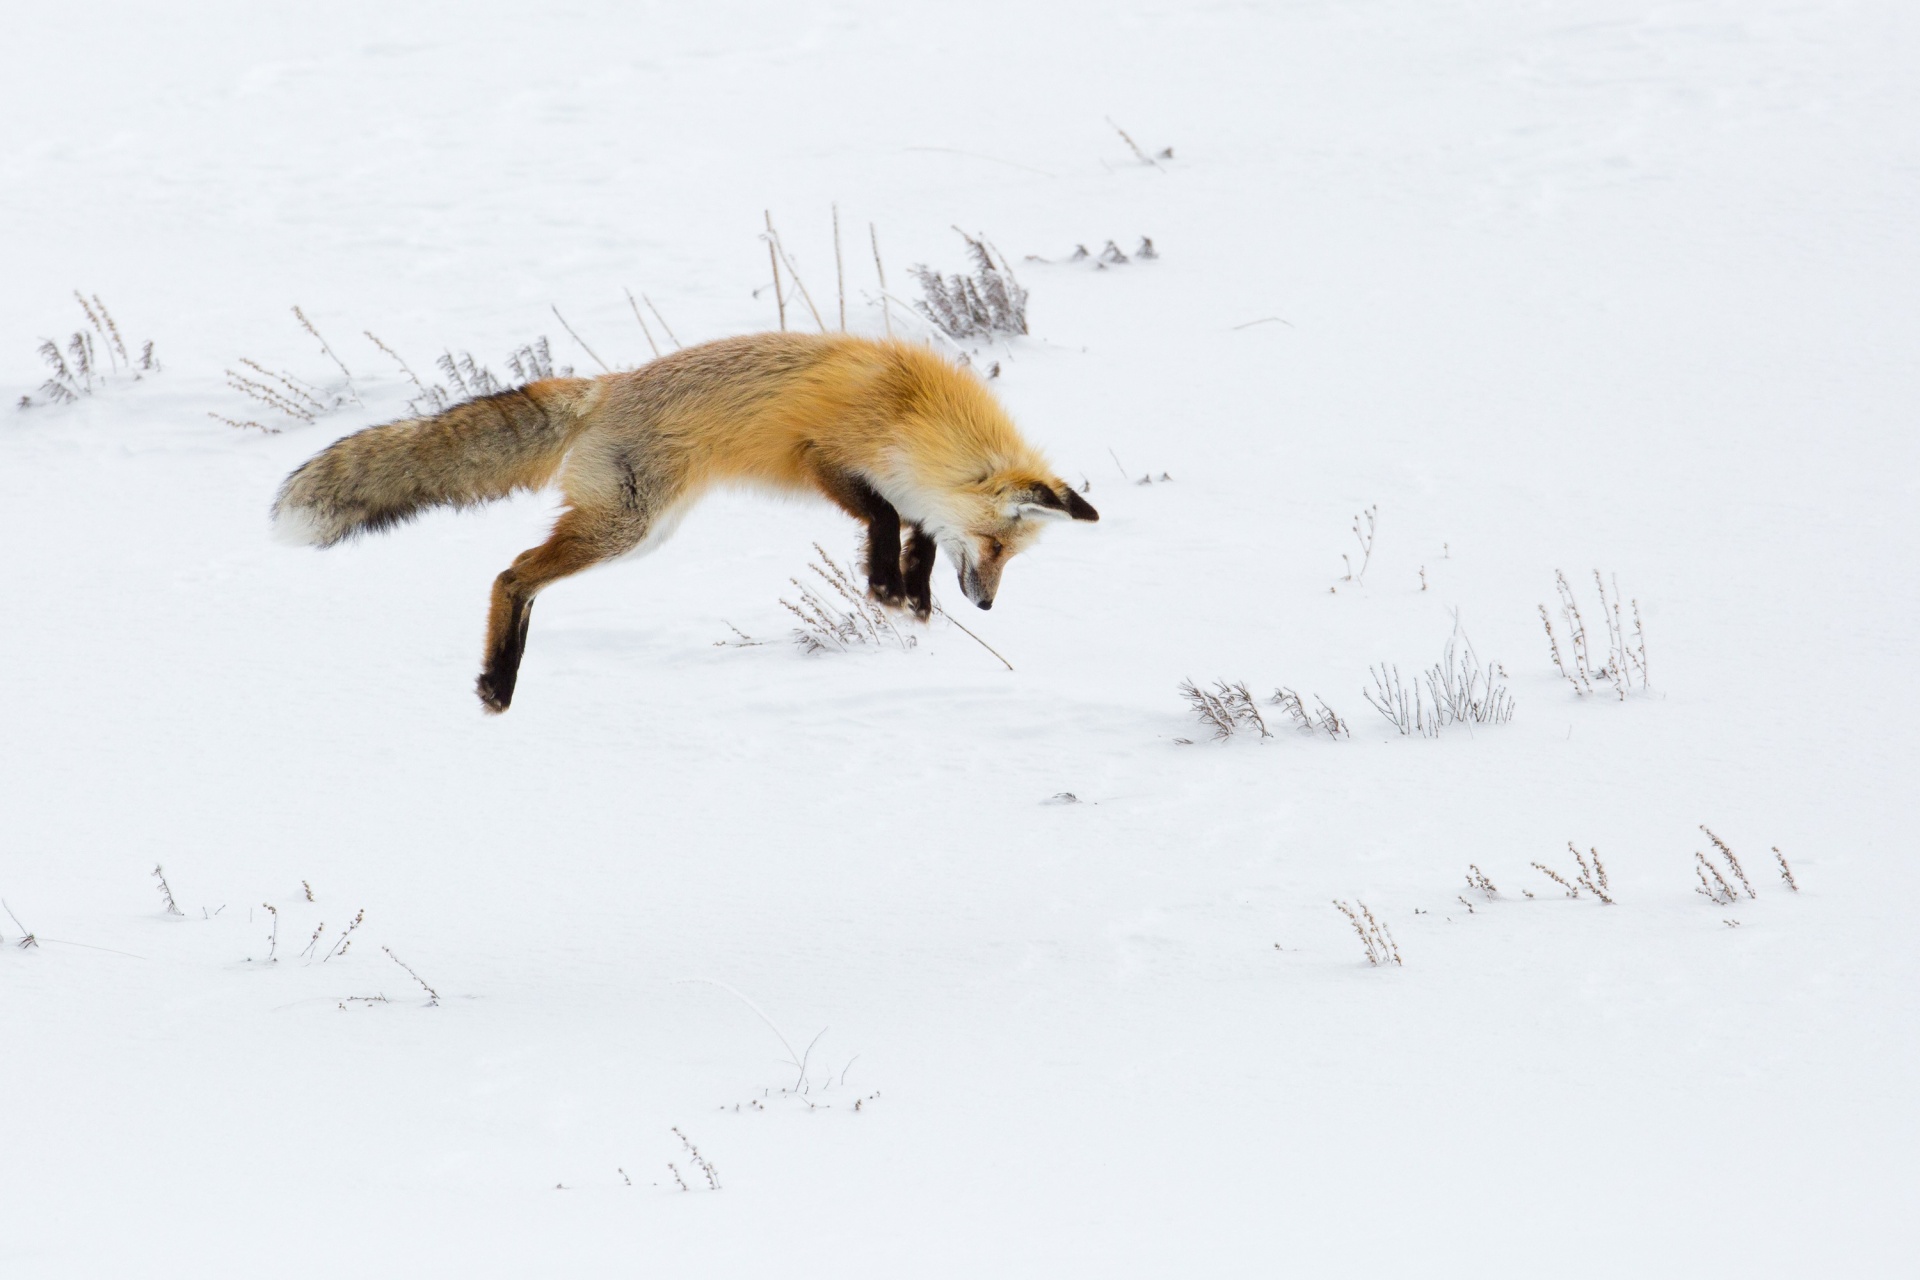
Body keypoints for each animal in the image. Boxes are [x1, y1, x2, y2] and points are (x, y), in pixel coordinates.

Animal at [278, 330, 1105, 710]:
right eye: (996, 544)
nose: (986, 604)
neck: (913, 413)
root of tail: (609, 387)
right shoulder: (822, 456)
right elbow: (878, 519)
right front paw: (886, 590)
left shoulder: (908, 493)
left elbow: (919, 540)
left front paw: (912, 600)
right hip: (630, 526)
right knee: (511, 575)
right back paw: (498, 680)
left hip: (638, 529)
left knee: (526, 580)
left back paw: (500, 677)